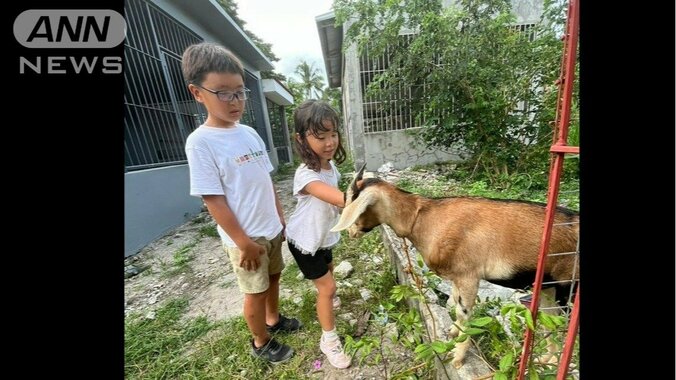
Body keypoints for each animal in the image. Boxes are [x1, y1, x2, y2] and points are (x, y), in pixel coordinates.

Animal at [330, 166, 580, 368]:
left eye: (351, 200)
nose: (351, 232)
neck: (423, 218)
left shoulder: (469, 275)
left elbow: (463, 313)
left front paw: (458, 356)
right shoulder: (457, 278)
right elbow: (455, 306)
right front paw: (451, 332)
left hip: (568, 287)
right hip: (548, 286)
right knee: (551, 323)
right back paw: (545, 360)